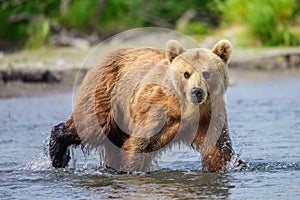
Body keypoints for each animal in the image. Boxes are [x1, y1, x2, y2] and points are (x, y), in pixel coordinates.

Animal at [49, 38, 241, 172]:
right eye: (186, 73)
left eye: (206, 73)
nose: (197, 92)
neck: (186, 108)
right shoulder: (157, 111)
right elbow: (141, 144)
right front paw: (131, 169)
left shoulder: (209, 115)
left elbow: (217, 148)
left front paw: (228, 166)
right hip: (106, 94)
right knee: (91, 126)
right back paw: (58, 156)